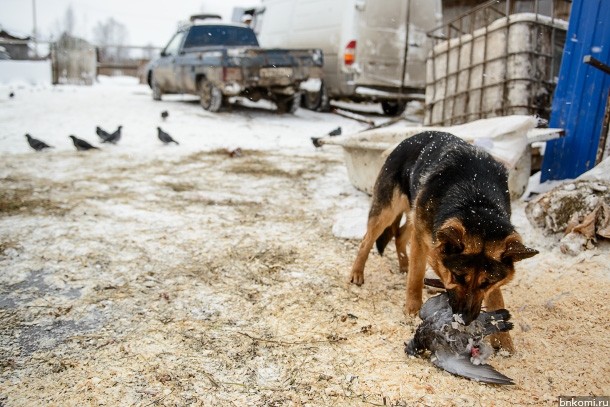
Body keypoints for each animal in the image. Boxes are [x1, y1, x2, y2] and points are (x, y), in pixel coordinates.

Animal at [350, 132, 536, 352]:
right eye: (457, 276)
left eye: (486, 282)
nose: (465, 320)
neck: (475, 200)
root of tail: (411, 137)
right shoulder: (423, 240)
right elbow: (416, 277)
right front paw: (413, 310)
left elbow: (497, 299)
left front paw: (504, 343)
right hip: (388, 212)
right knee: (367, 240)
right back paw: (357, 273)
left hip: (415, 217)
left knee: (400, 235)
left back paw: (403, 264)